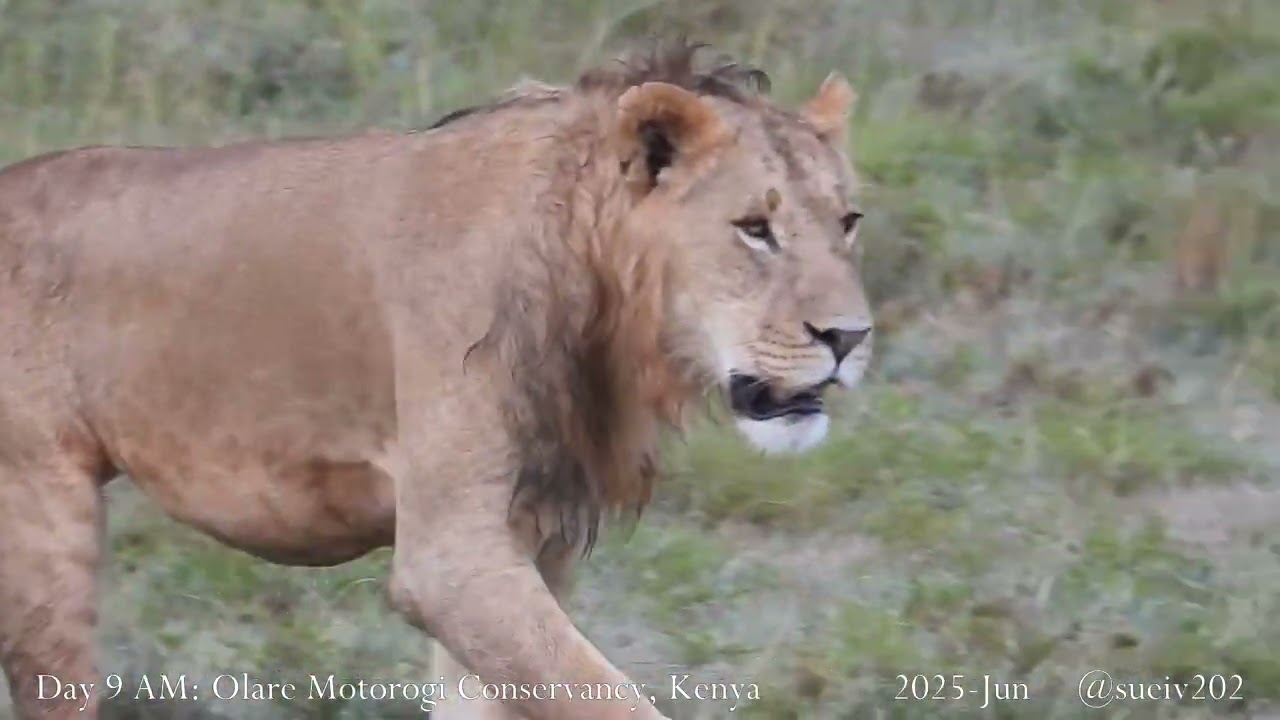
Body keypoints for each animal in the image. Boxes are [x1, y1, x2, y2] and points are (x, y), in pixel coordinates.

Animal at [0, 39, 872, 720]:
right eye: (754, 229)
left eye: (848, 222)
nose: (849, 338)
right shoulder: (451, 557)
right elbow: (608, 697)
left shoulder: (531, 539)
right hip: (41, 511)